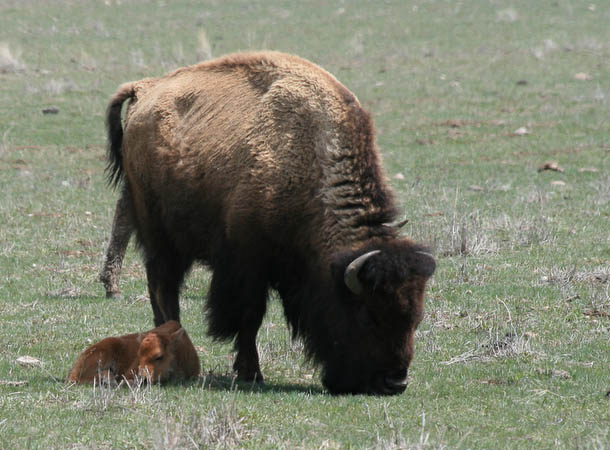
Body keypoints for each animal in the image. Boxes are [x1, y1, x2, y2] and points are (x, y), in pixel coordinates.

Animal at [105, 51, 436, 394]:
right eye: (368, 315)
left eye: (416, 317)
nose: (395, 382)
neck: (310, 161)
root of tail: (144, 89)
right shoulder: (247, 265)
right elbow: (250, 316)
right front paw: (251, 372)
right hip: (160, 233)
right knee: (164, 286)